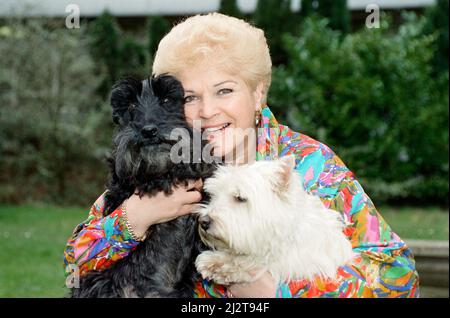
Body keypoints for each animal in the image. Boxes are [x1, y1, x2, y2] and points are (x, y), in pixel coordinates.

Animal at [195, 156, 354, 286]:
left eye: (240, 198)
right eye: (213, 196)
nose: (203, 222)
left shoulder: (302, 261)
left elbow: (258, 261)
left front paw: (226, 267)